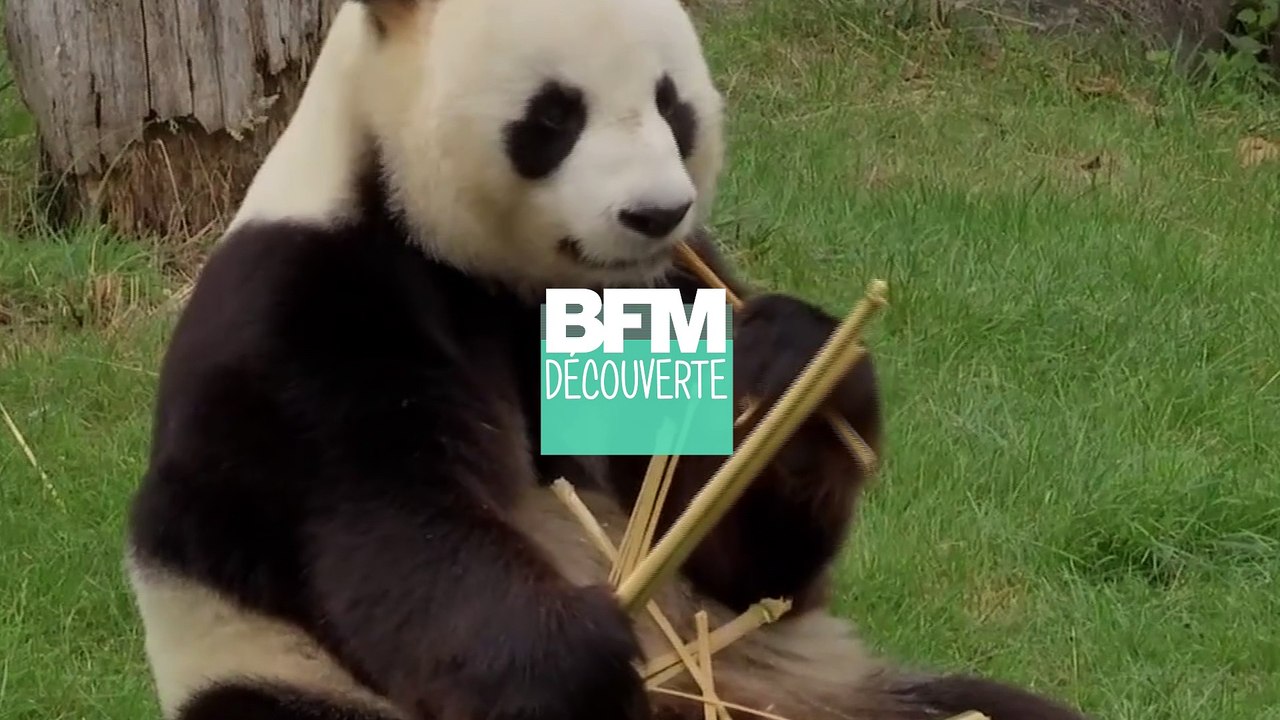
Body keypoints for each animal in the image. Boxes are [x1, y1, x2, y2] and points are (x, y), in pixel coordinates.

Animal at [122, 1, 1092, 719]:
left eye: (672, 103)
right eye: (555, 115)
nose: (655, 213)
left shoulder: (672, 291)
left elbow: (733, 552)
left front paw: (791, 373)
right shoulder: (308, 306)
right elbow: (383, 527)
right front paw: (574, 660)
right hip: (280, 674)